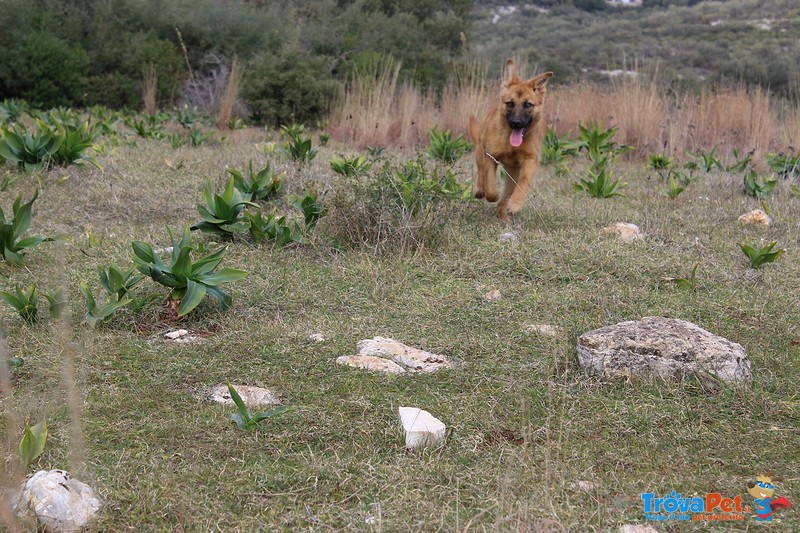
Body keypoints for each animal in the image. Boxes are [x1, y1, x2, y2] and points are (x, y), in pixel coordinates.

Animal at [466, 59, 552, 221]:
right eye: (510, 103)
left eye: (528, 104)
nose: (516, 123)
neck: (511, 144)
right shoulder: (490, 156)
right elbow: (490, 185)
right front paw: (491, 195)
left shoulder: (531, 160)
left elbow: (523, 183)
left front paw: (516, 204)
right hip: (480, 152)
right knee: (481, 174)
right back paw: (480, 190)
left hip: (512, 176)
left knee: (505, 198)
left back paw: (503, 217)